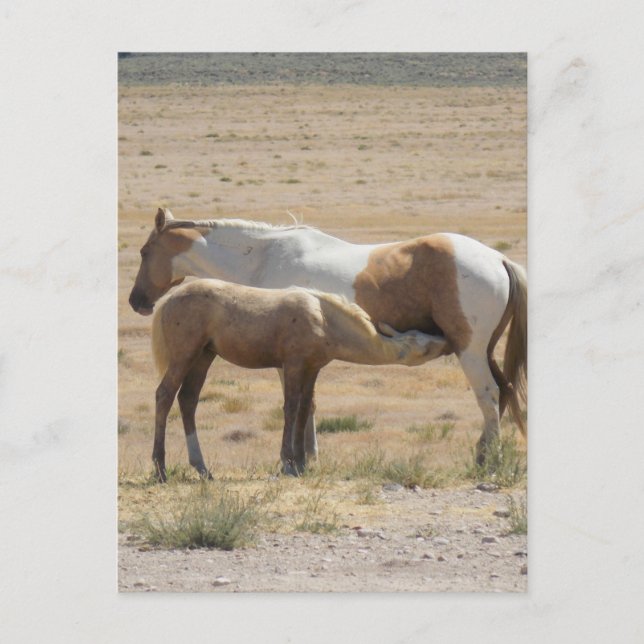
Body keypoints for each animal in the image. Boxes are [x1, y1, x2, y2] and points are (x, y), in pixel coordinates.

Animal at [150, 278, 448, 481]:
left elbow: (305, 409)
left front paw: (302, 463)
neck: (322, 317)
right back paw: (161, 468)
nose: (446, 340)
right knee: (165, 395)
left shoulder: (312, 369)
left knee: (188, 400)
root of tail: (167, 300)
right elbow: (291, 408)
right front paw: (288, 463)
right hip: (185, 356)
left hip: (204, 357)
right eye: (424, 345)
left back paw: (202, 469)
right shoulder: (292, 365)